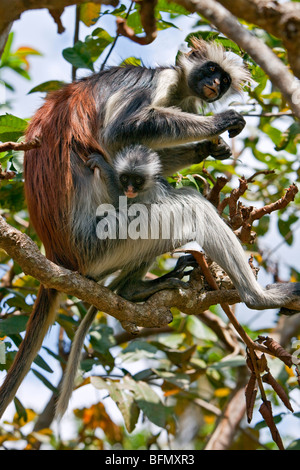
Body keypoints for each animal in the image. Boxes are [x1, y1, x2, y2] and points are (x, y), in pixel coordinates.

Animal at [1, 37, 298, 418]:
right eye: (211, 69)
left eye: (225, 80)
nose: (215, 85)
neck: (179, 88)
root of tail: (58, 255)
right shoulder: (157, 85)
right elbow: (121, 133)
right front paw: (220, 122)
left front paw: (209, 147)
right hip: (105, 240)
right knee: (191, 206)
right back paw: (258, 297)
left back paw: (135, 290)